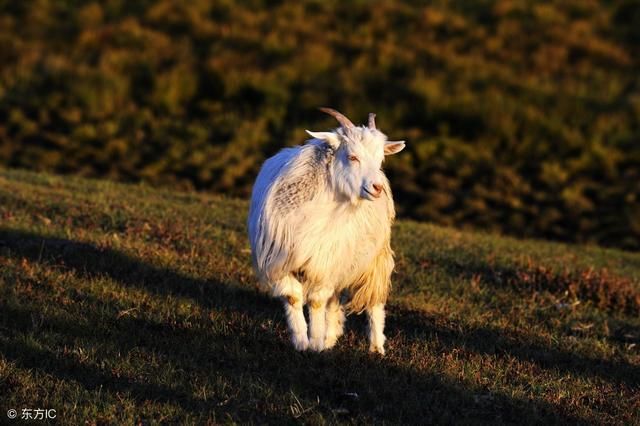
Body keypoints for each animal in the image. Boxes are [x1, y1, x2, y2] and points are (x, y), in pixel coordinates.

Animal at [246, 107, 404, 352]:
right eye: (352, 157)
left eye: (380, 159)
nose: (377, 188)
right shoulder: (279, 261)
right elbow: (293, 297)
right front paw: (302, 342)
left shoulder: (324, 265)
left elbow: (317, 301)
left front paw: (316, 343)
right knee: (335, 300)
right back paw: (331, 338)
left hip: (375, 257)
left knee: (374, 300)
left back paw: (376, 346)